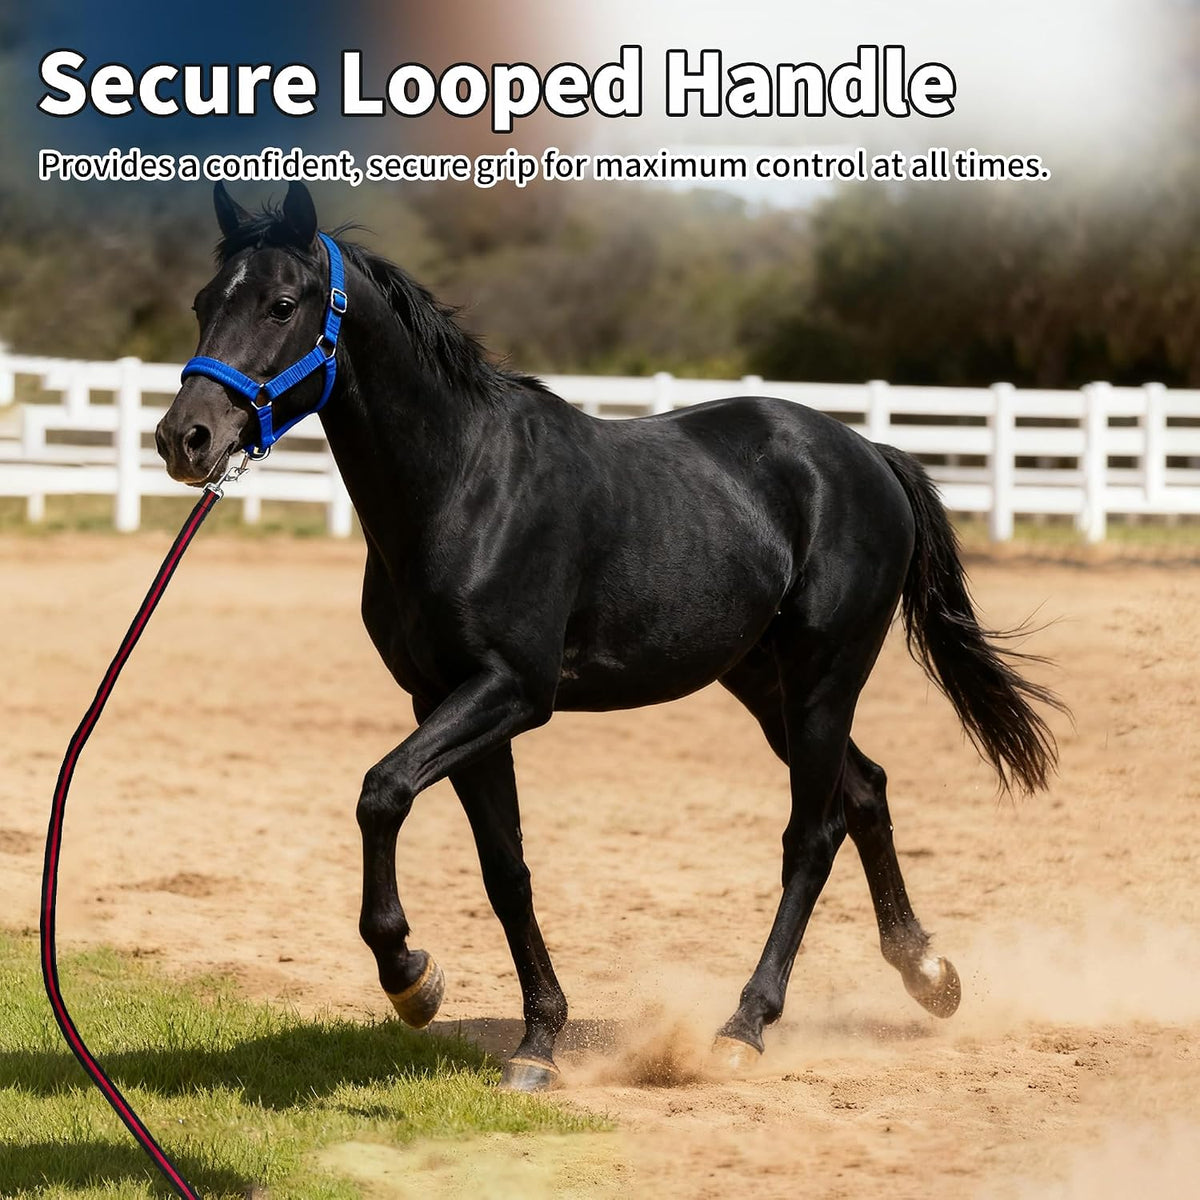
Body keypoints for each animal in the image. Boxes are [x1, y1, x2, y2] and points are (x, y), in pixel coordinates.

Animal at [156, 181, 1064, 1091]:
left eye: (282, 304)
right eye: (202, 302)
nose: (185, 438)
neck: (464, 485)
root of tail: (868, 452)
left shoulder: (512, 692)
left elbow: (382, 792)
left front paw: (413, 978)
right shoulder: (444, 699)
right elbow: (504, 869)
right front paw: (535, 1042)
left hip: (823, 677)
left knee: (813, 833)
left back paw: (745, 1026)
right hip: (763, 680)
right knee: (866, 791)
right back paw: (928, 974)